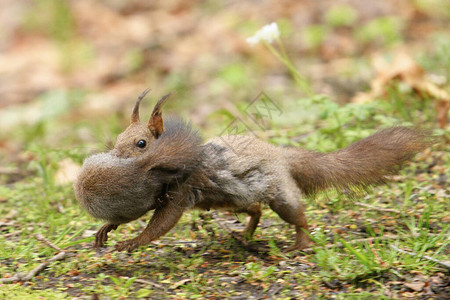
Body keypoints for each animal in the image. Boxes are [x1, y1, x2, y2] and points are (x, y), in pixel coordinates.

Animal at [73, 90, 428, 252]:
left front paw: (133, 242)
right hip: (232, 200)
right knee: (255, 210)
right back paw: (244, 235)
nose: (115, 159)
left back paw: (300, 243)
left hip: (280, 195)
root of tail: (282, 156)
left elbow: (162, 223)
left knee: (297, 216)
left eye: (141, 143)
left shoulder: (180, 192)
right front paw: (108, 228)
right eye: (117, 138)